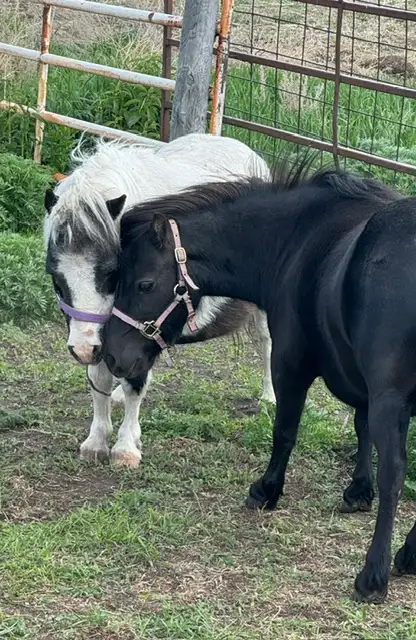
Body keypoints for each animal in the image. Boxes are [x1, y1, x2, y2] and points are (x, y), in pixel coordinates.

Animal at [43, 133, 274, 469]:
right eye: (56, 277)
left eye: (112, 272)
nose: (84, 350)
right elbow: (99, 378)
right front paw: (96, 441)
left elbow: (134, 384)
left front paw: (126, 448)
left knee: (266, 343)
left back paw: (270, 397)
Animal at [101, 163, 416, 603]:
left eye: (144, 284)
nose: (112, 355)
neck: (301, 238)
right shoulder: (359, 381)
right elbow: (360, 426)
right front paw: (357, 490)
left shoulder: (291, 367)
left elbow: (285, 432)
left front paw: (267, 490)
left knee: (395, 473)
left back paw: (374, 574)